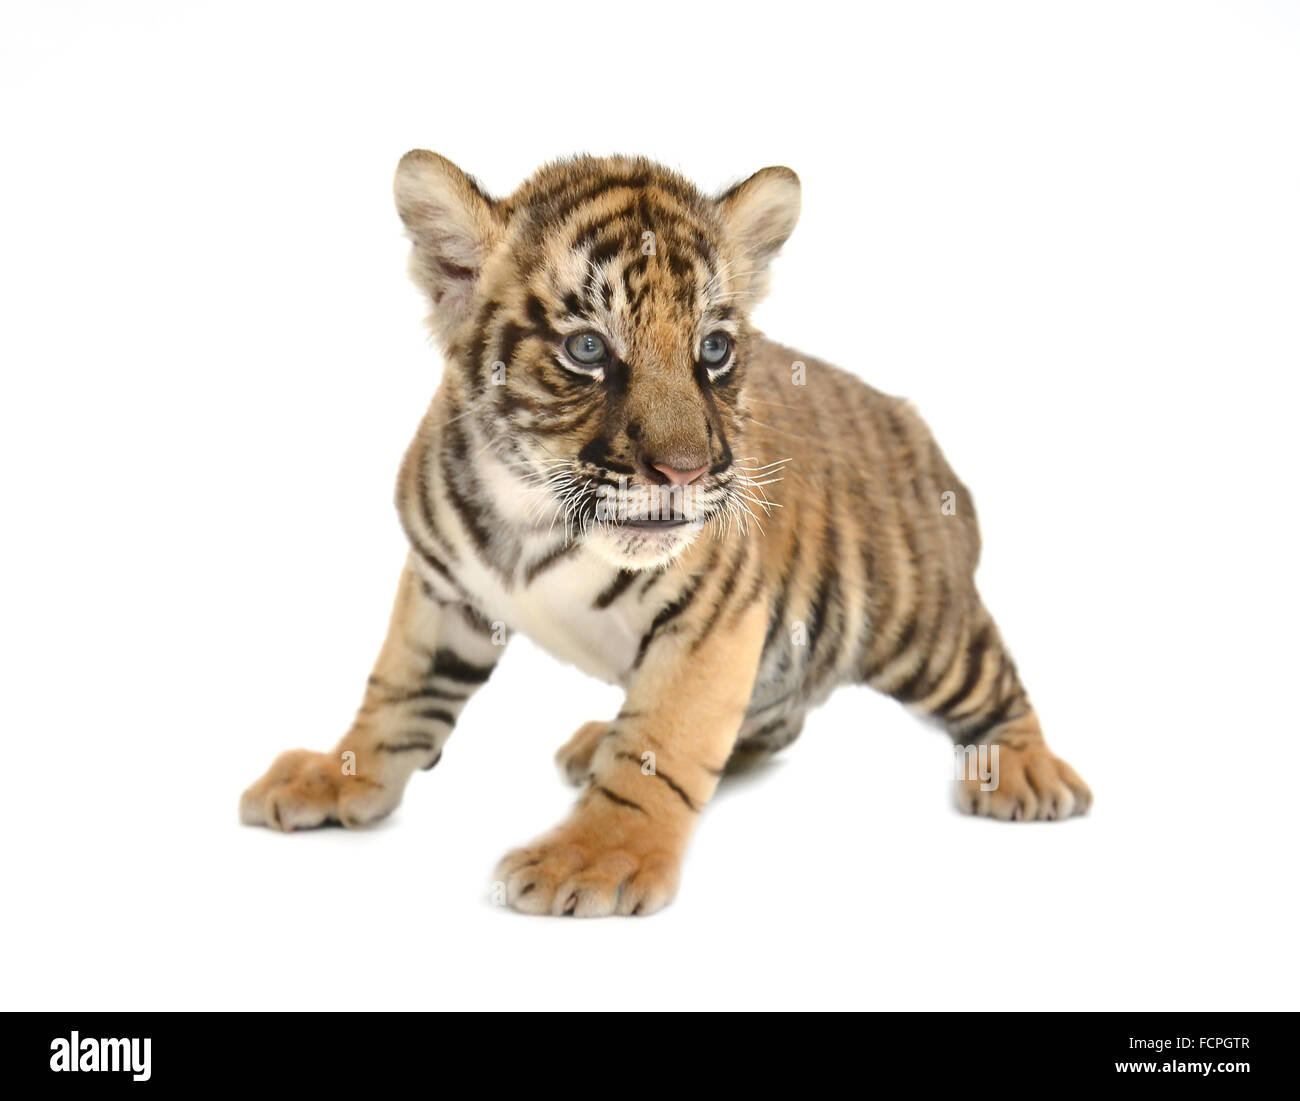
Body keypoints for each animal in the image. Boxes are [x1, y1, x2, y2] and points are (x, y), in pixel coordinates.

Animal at [239, 150, 1092, 917]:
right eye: (587, 348)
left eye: (712, 349)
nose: (685, 470)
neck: (534, 514)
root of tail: (917, 427)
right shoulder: (442, 587)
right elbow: (397, 692)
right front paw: (336, 773)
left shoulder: (715, 618)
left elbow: (662, 742)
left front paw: (594, 856)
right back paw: (597, 739)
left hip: (921, 627)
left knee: (995, 682)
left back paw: (1026, 772)